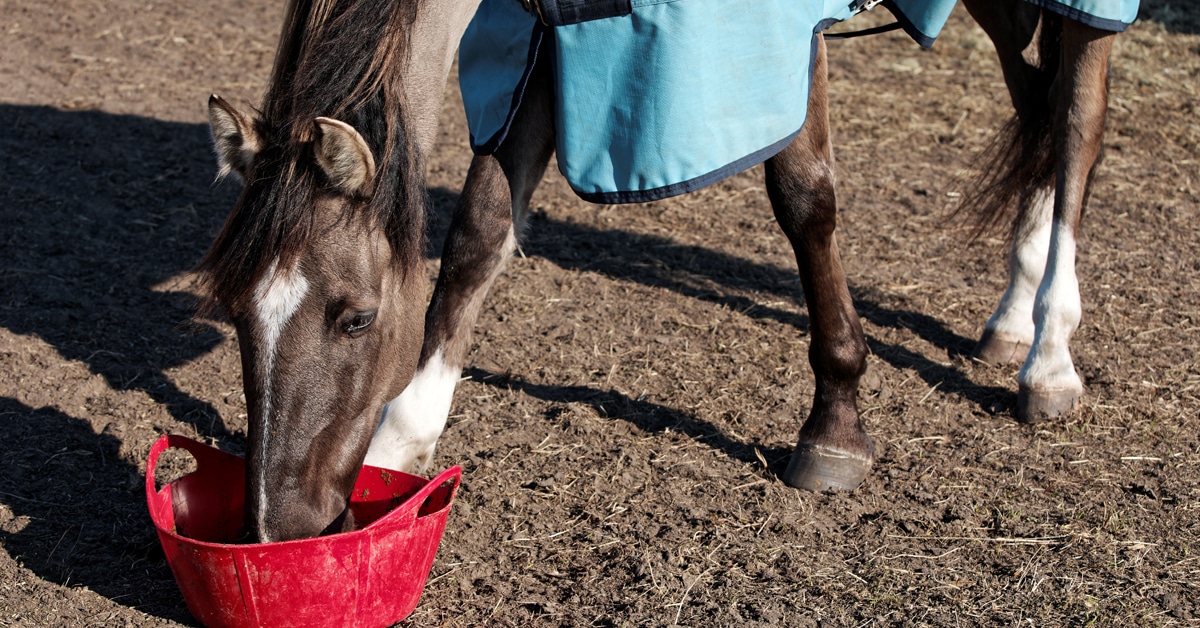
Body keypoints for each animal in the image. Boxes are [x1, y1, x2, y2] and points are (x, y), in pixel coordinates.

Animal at [199, 0, 1130, 541]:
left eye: (355, 316)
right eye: (235, 312)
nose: (281, 526)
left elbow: (804, 199)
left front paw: (835, 422)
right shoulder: (540, 36)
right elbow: (479, 231)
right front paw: (406, 436)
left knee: (1076, 120)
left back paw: (1049, 354)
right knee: (1036, 100)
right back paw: (1011, 315)